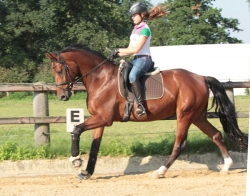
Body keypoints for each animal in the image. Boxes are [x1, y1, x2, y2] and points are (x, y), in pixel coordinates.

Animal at [45, 43, 248, 180]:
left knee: (180, 144)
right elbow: (95, 146)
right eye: (54, 71)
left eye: (60, 70)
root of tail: (200, 77)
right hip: (197, 116)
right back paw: (227, 166)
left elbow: (76, 129)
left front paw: (75, 160)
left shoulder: (103, 118)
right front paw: (86, 172)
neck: (100, 78)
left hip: (185, 115)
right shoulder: (99, 120)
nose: (62, 96)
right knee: (216, 135)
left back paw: (160, 171)